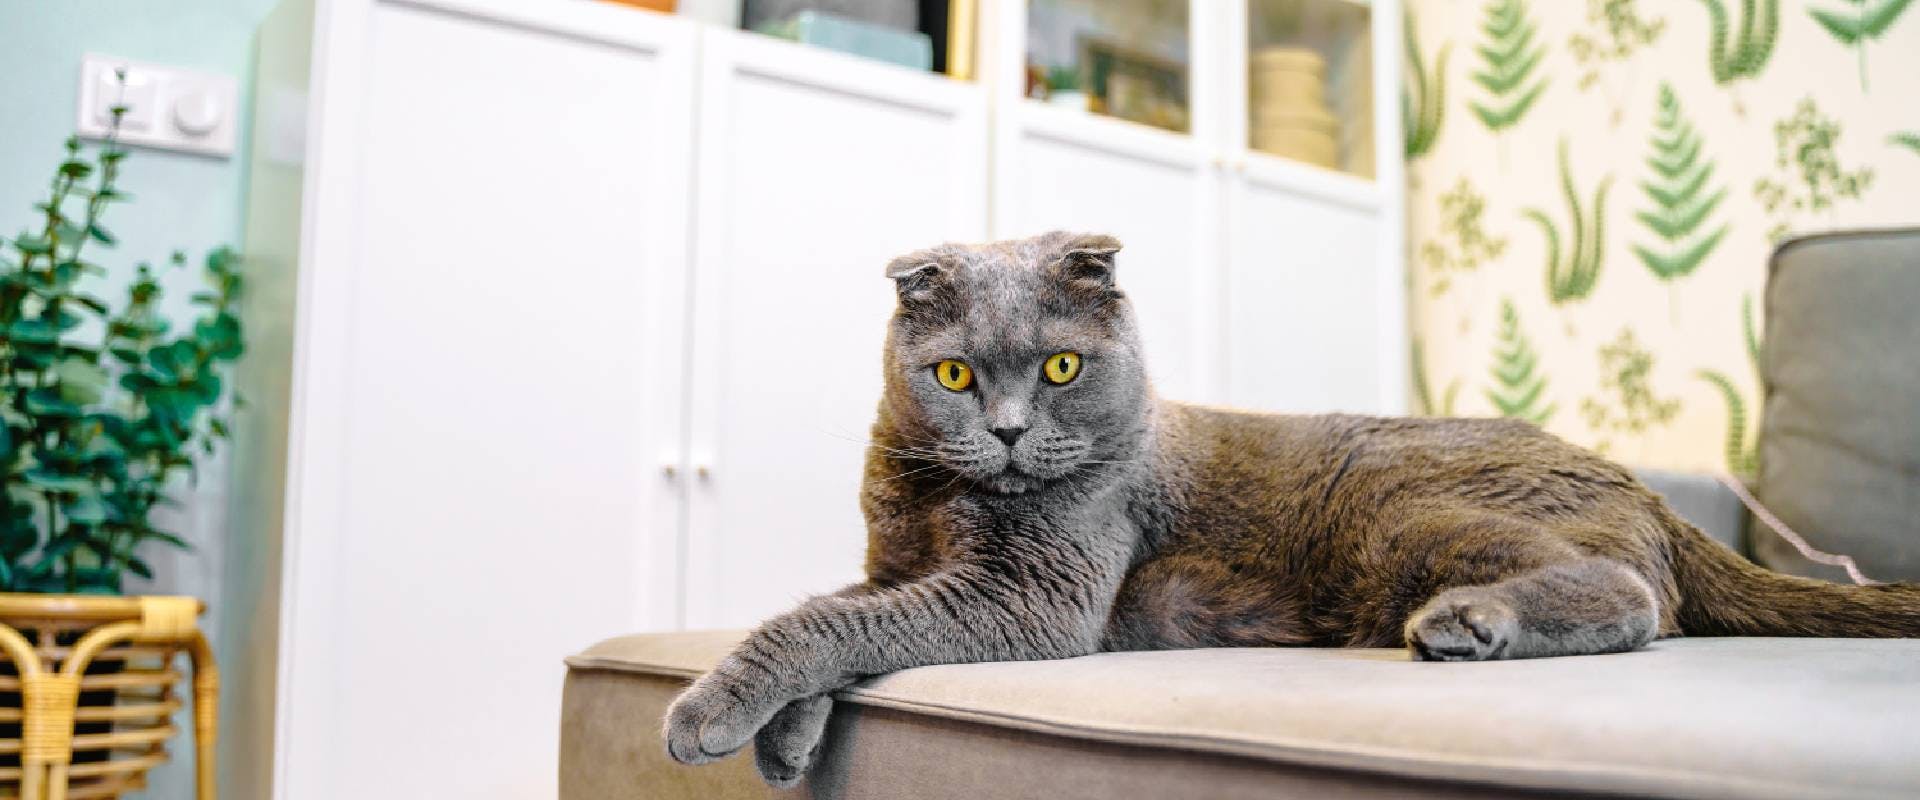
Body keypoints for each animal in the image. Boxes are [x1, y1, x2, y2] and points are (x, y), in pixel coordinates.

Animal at [668, 230, 1920, 786]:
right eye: (958, 375)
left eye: (1062, 367)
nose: (1013, 430)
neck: (938, 501)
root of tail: (1640, 482)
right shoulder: (894, 565)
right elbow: (839, 608)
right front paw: (786, 738)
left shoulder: (1031, 597)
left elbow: (826, 620)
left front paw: (710, 712)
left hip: (1400, 509)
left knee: (1631, 597)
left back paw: (1468, 624)